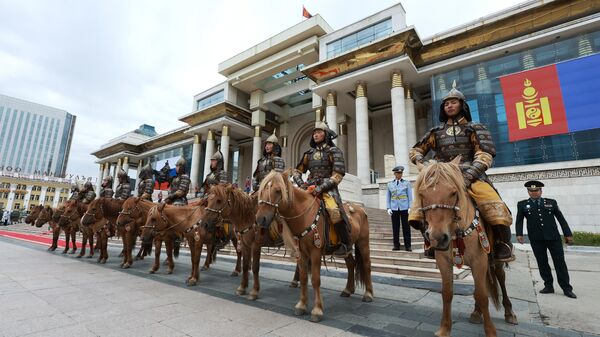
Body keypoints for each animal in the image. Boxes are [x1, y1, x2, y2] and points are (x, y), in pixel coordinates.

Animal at [254, 171, 376, 320]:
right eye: (262, 190)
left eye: (277, 190)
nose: (261, 219)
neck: (304, 215)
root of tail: (360, 209)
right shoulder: (301, 253)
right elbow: (304, 278)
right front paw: (301, 305)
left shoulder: (315, 252)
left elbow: (316, 279)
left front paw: (317, 310)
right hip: (345, 248)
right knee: (351, 263)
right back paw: (348, 290)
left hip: (363, 242)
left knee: (366, 264)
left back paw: (368, 294)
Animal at [414, 158, 516, 336]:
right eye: (421, 194)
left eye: (453, 192)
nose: (437, 238)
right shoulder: (444, 261)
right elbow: (447, 293)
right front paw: (444, 329)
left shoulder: (479, 261)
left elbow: (482, 295)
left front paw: (490, 331)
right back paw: (476, 312)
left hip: (495, 260)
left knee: (500, 278)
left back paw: (509, 313)